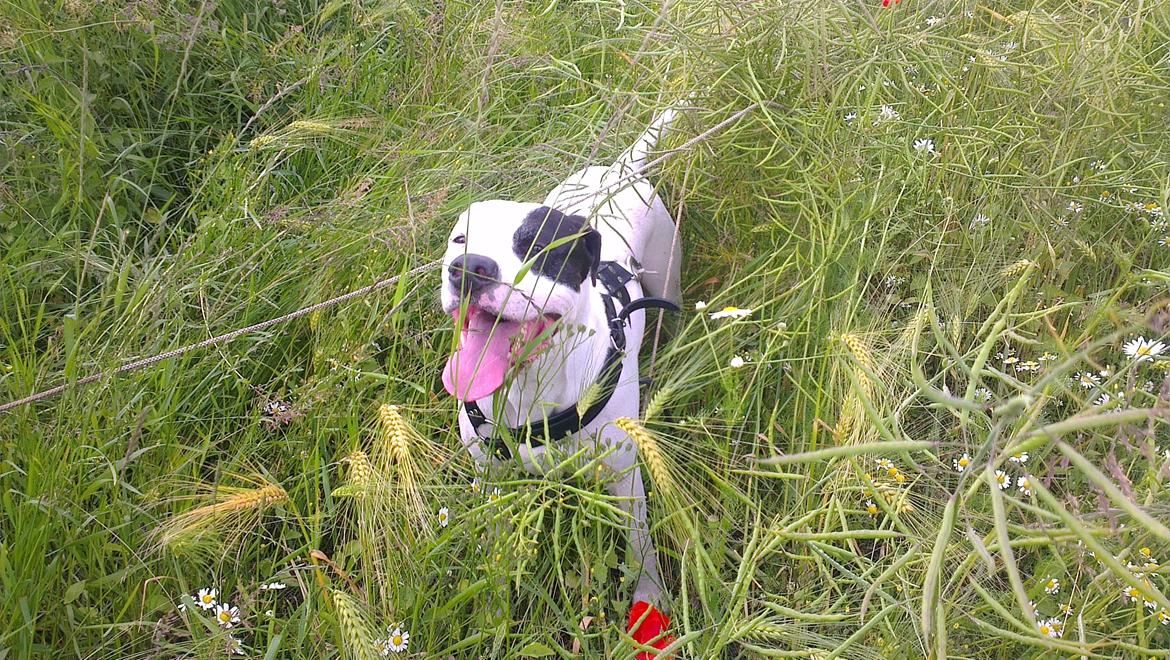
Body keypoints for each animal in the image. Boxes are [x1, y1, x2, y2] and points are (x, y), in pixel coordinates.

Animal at [444, 104, 683, 655]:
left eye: (536, 246)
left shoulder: (625, 476)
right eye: (459, 240)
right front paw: (494, 615)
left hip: (669, 269)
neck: (529, 389)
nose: (468, 268)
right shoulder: (492, 478)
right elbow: (496, 550)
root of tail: (617, 169)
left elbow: (640, 546)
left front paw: (649, 603)